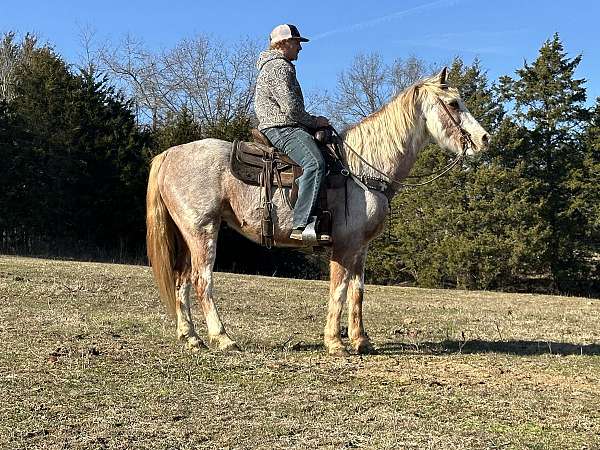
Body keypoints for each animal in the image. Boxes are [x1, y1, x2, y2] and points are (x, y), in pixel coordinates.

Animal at [145, 67, 488, 356]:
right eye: (454, 103)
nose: (484, 139)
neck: (361, 169)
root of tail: (170, 154)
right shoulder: (343, 244)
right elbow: (339, 289)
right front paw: (335, 343)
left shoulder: (361, 247)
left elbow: (357, 291)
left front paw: (362, 341)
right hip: (203, 231)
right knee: (202, 280)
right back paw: (223, 338)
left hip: (188, 234)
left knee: (181, 279)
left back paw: (191, 337)